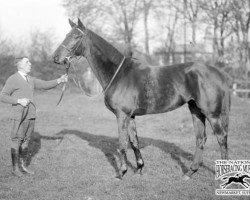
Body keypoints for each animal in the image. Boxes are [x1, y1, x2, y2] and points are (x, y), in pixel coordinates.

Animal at [52, 18, 230, 179]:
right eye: (67, 34)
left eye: (76, 36)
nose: (55, 57)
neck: (118, 74)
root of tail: (219, 73)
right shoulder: (130, 116)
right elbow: (134, 142)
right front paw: (139, 168)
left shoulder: (122, 115)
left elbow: (122, 144)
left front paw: (122, 172)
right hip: (196, 110)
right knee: (200, 138)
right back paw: (190, 172)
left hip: (211, 114)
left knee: (221, 138)